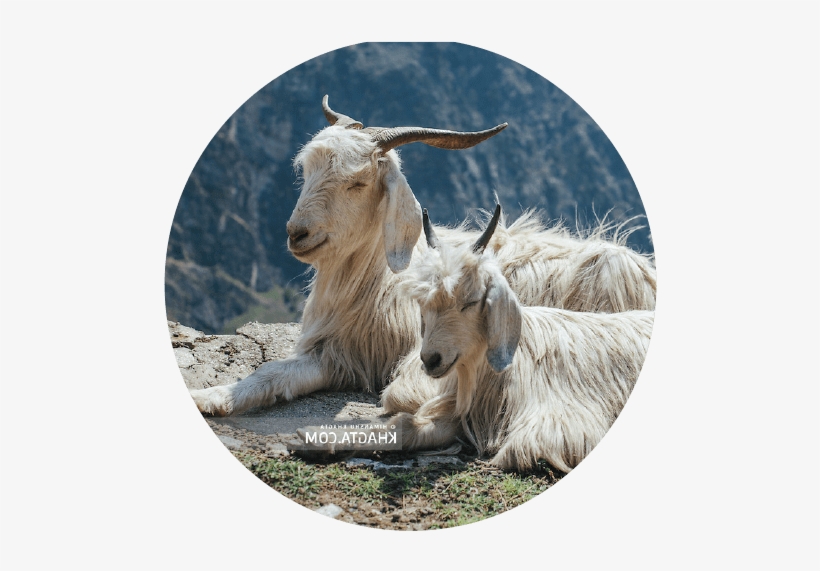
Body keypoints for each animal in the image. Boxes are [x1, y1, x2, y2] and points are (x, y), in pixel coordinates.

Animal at [190, 96, 656, 417]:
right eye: (306, 170)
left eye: (358, 182)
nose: (297, 233)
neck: (376, 282)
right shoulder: (341, 354)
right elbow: (270, 373)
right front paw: (209, 397)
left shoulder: (420, 346)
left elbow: (401, 392)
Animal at [384, 207, 654, 472]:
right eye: (422, 302)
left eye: (471, 301)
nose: (431, 359)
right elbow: (406, 426)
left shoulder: (560, 422)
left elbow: (521, 449)